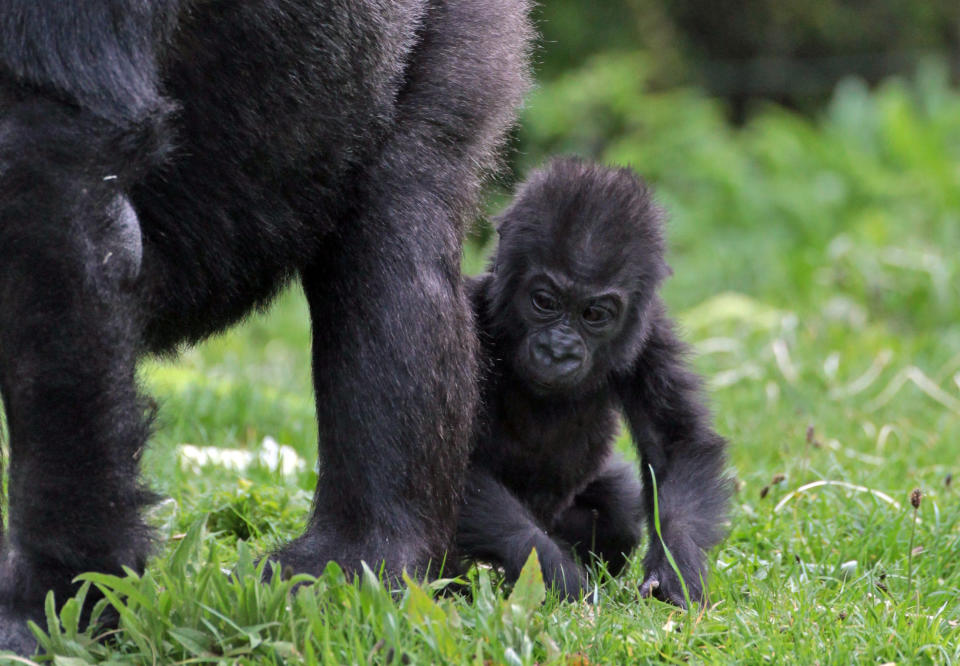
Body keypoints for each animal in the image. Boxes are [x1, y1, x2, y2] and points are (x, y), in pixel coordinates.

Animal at [462, 156, 732, 600]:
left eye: (594, 314)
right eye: (544, 301)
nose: (558, 350)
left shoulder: (649, 337)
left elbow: (676, 443)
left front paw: (675, 568)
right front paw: (557, 575)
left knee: (619, 512)